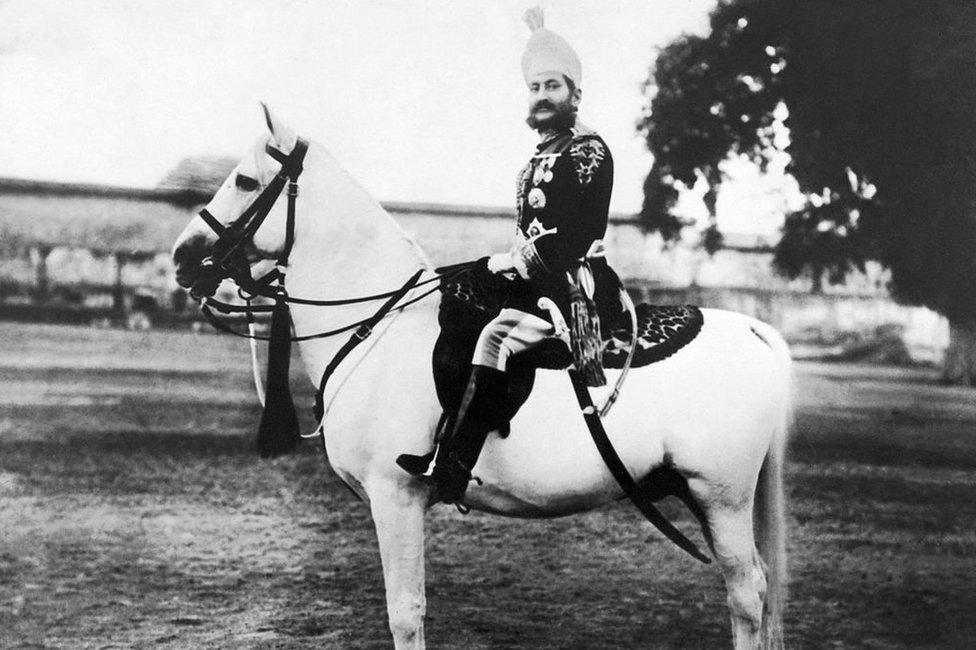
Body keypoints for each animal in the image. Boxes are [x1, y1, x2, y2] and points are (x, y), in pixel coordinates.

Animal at [172, 107, 788, 648]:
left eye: (245, 179)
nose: (182, 257)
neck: (381, 326)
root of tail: (756, 330)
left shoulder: (394, 497)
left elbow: (405, 614)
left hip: (721, 498)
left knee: (748, 593)